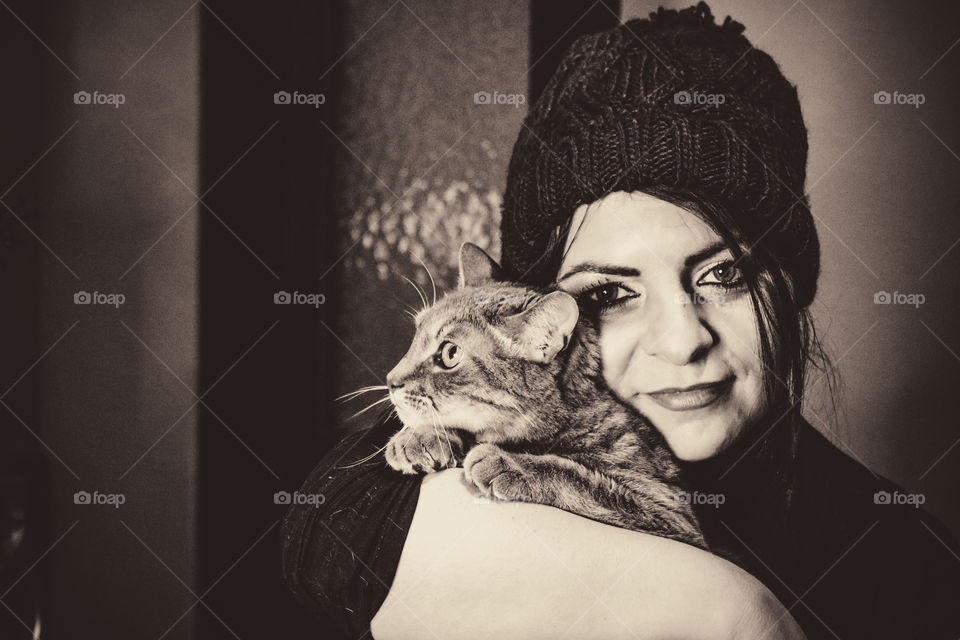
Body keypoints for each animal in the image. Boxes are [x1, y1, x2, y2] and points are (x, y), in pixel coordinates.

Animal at [382, 242, 704, 548]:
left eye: (450, 353)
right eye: (416, 334)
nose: (390, 380)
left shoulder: (668, 510)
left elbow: (577, 478)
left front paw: (510, 463)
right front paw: (419, 437)